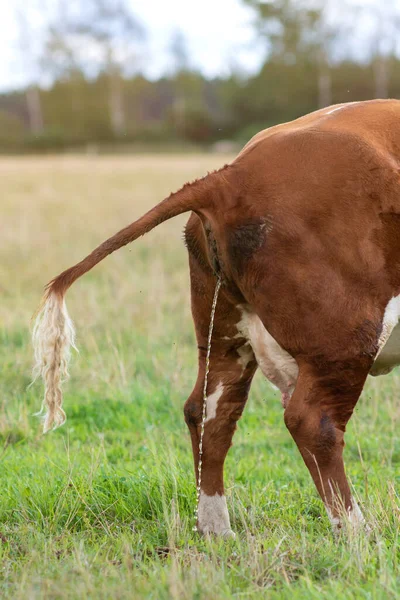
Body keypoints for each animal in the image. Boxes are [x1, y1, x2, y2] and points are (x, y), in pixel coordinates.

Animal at [32, 99, 400, 540]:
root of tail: (232, 174)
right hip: (343, 339)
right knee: (313, 422)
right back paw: (358, 533)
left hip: (224, 331)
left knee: (208, 411)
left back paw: (215, 528)